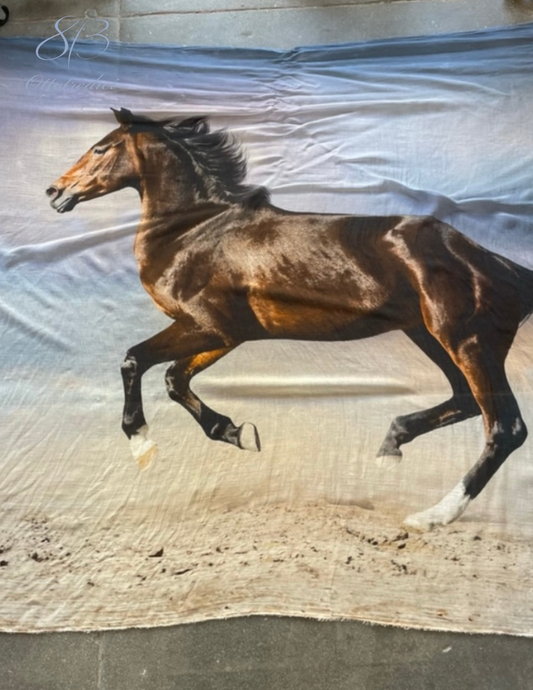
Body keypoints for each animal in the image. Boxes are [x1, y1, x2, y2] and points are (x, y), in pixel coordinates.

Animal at [46, 107, 533, 531]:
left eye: (100, 148)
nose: (55, 191)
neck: (193, 231)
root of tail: (504, 268)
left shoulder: (207, 326)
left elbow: (135, 360)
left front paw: (143, 443)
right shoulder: (227, 334)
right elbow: (174, 379)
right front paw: (238, 432)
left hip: (467, 340)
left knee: (505, 427)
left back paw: (432, 516)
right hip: (429, 335)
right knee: (466, 401)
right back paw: (390, 445)